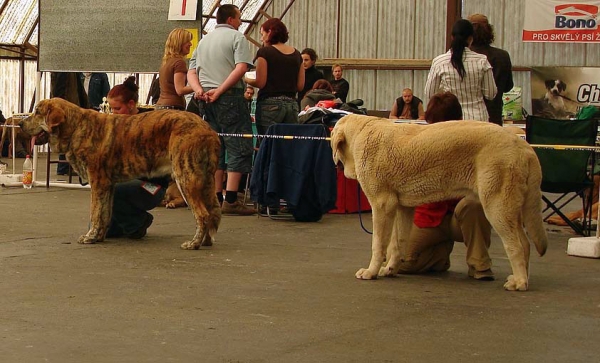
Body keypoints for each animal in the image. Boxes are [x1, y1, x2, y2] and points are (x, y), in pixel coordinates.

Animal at [18, 97, 221, 250]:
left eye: (37, 112)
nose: (20, 123)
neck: (76, 128)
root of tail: (208, 129)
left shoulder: (98, 182)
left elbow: (95, 212)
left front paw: (89, 237)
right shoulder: (108, 185)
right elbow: (105, 213)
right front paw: (99, 236)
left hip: (185, 177)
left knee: (202, 214)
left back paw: (194, 243)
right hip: (206, 182)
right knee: (212, 211)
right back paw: (206, 241)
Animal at [332, 115, 548, 292]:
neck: (362, 130)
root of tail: (525, 147)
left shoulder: (382, 204)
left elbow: (378, 244)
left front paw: (371, 272)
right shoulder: (402, 208)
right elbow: (397, 242)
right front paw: (390, 269)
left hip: (497, 205)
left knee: (515, 245)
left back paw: (519, 283)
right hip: (511, 207)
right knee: (525, 242)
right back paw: (522, 278)